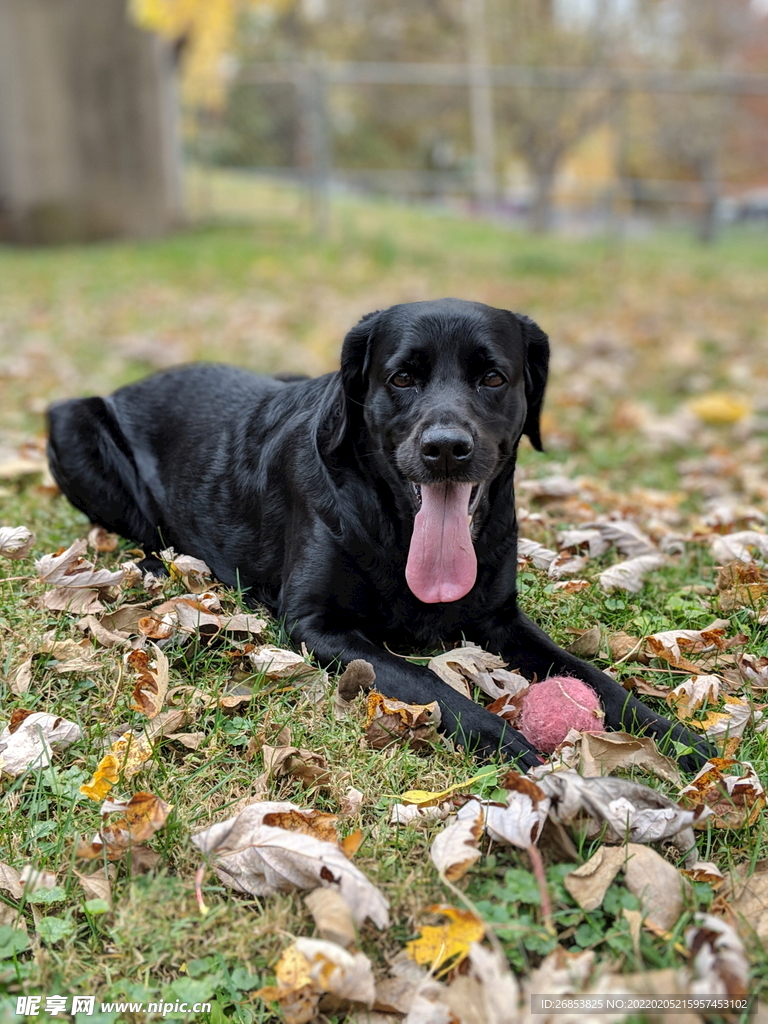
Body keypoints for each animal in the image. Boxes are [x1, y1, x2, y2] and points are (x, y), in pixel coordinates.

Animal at [48, 296, 716, 770]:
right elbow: (430, 683)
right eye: (401, 379)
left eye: (493, 379)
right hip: (73, 421)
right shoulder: (319, 624)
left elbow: (593, 677)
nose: (445, 448)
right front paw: (519, 750)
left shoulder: (501, 618)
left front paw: (680, 740)